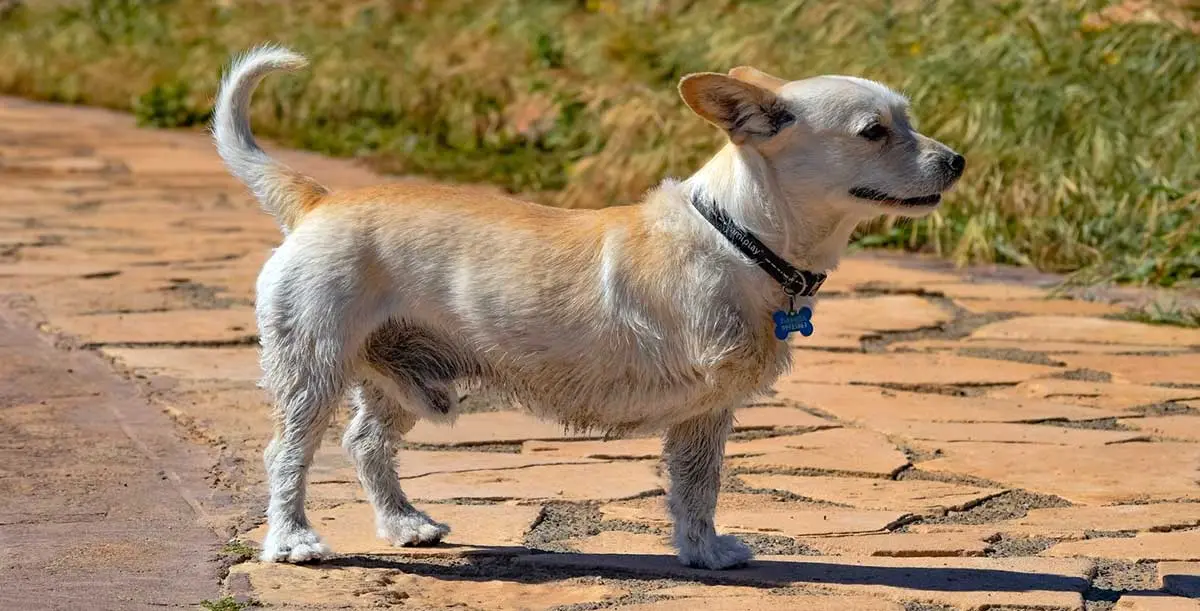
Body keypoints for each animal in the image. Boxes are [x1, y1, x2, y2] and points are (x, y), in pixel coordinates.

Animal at [213, 45, 964, 568]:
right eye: (874, 132)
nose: (958, 160)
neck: (740, 236)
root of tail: (318, 200)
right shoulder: (703, 407)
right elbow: (698, 486)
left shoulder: (706, 416)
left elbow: (698, 489)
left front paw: (704, 552)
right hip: (312, 365)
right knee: (287, 452)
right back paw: (293, 540)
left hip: (401, 376)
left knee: (365, 443)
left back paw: (405, 524)